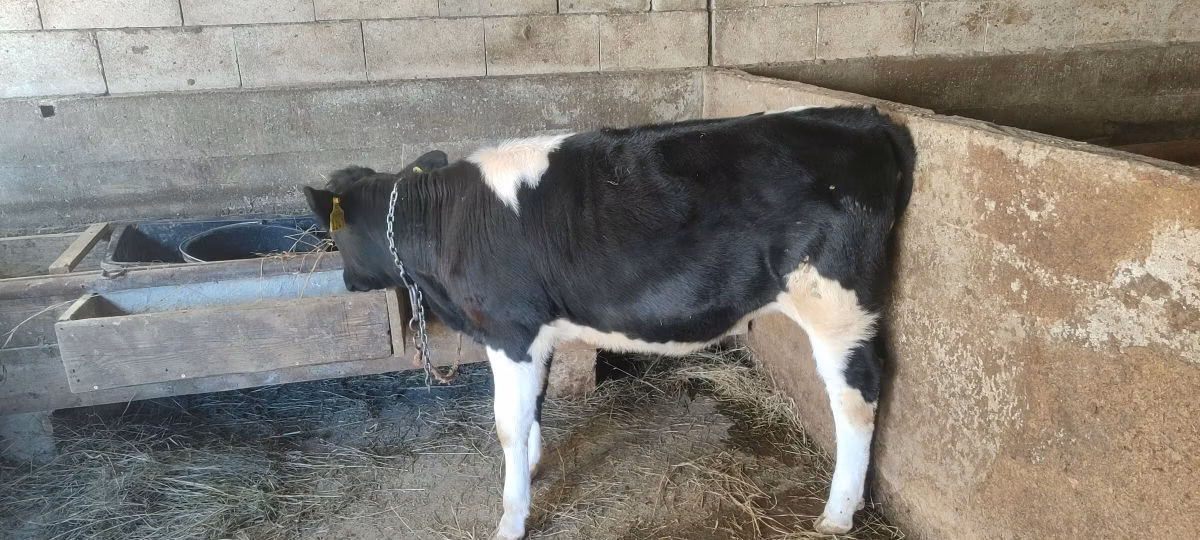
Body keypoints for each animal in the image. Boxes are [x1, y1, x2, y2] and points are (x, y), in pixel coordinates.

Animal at [303, 105, 916, 539]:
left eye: (333, 234)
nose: (345, 281)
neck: (444, 222)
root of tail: (863, 117)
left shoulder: (508, 330)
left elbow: (506, 424)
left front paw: (511, 519)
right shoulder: (538, 332)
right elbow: (534, 408)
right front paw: (533, 467)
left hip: (835, 305)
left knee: (857, 397)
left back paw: (838, 512)